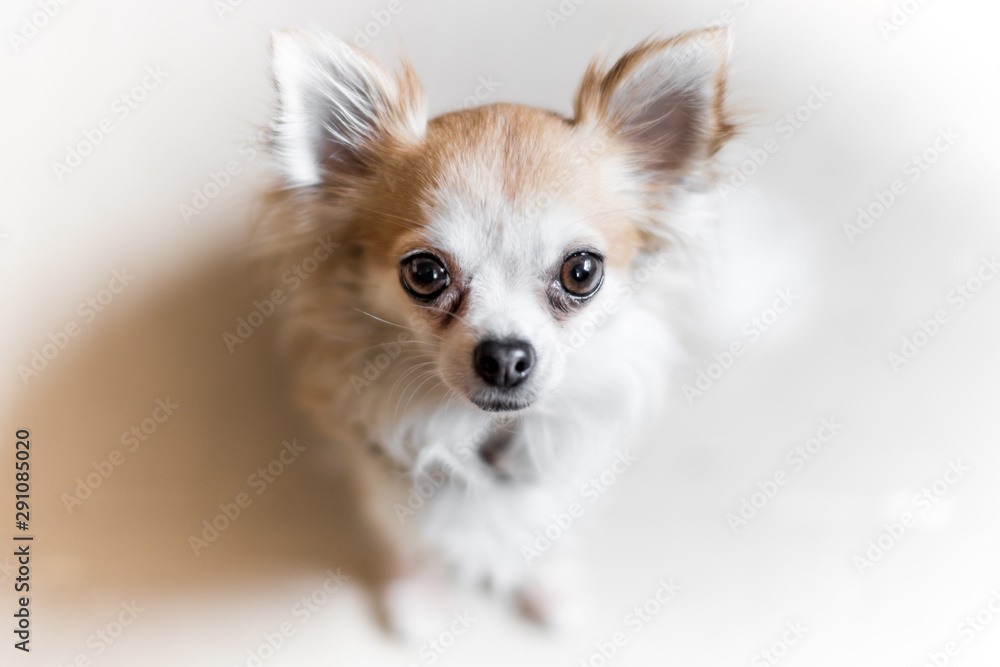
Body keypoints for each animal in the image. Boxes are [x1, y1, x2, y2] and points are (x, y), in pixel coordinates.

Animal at [260, 28, 736, 636]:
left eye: (581, 272)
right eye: (424, 273)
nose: (505, 356)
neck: (484, 433)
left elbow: (550, 530)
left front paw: (549, 586)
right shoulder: (381, 469)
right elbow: (404, 535)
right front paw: (416, 594)